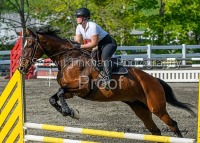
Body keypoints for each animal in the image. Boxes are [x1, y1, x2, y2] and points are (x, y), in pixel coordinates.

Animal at [18, 27, 195, 138]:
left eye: (30, 44)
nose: (21, 68)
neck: (69, 59)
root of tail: (154, 80)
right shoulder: (70, 91)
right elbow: (54, 97)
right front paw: (69, 112)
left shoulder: (82, 88)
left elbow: (60, 92)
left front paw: (69, 112)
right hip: (140, 108)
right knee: (155, 130)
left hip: (156, 106)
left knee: (172, 124)